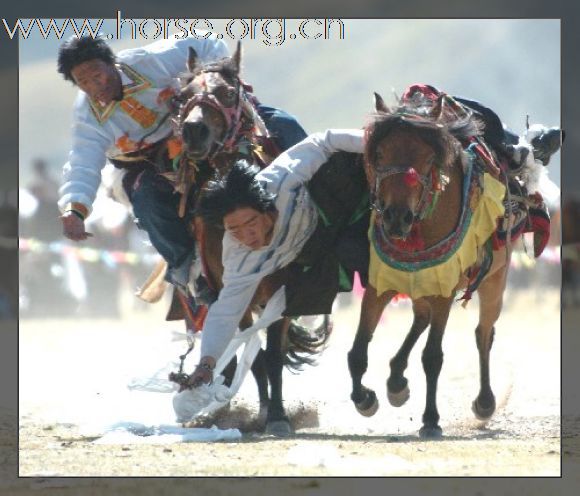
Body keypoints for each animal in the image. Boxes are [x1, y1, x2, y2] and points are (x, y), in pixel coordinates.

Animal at [169, 43, 330, 438]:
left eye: (228, 93)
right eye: (184, 95)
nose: (193, 130)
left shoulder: (279, 287)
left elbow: (272, 355)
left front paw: (279, 416)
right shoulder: (227, 287)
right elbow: (254, 358)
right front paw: (263, 413)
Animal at [344, 89, 512, 438]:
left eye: (427, 158)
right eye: (379, 154)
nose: (397, 218)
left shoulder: (444, 288)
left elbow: (433, 357)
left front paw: (431, 419)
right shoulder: (380, 284)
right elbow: (357, 351)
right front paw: (364, 398)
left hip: (495, 281)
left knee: (483, 334)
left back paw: (484, 401)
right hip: (419, 284)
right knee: (421, 318)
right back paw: (396, 381)